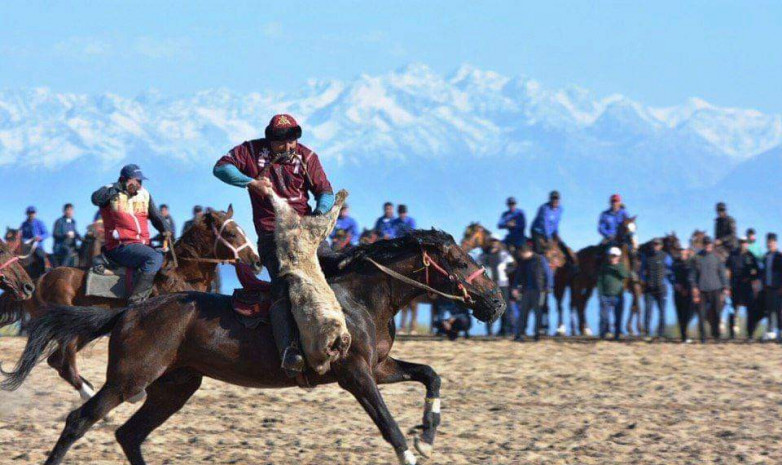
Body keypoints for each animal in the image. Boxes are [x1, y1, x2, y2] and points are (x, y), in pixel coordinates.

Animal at [0, 207, 262, 398]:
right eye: (231, 234)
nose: (256, 261)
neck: (181, 273)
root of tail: (37, 281)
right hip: (68, 329)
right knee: (64, 362)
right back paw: (91, 394)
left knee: (58, 361)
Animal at [3, 229, 506, 464]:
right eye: (458, 260)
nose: (498, 301)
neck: (360, 299)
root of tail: (130, 311)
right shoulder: (356, 375)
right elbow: (388, 425)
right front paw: (412, 445)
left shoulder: (378, 367)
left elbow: (429, 375)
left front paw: (429, 433)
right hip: (130, 380)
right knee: (80, 419)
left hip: (175, 386)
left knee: (129, 434)